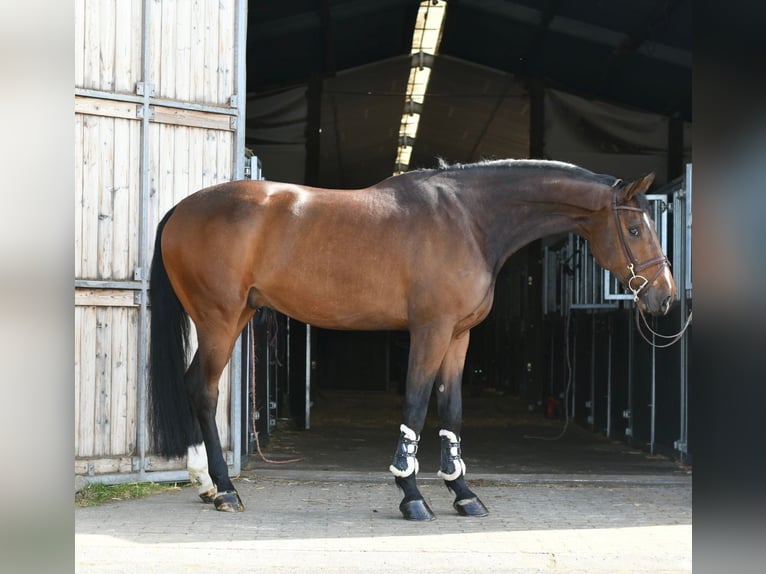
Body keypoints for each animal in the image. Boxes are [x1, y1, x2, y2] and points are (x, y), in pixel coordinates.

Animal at [148, 159, 676, 520]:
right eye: (634, 228)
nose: (665, 297)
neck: (469, 220)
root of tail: (180, 209)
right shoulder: (431, 329)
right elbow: (418, 405)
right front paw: (412, 495)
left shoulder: (459, 336)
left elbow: (452, 409)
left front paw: (464, 494)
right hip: (218, 319)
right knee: (202, 389)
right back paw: (224, 489)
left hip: (237, 316)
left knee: (196, 386)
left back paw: (206, 484)